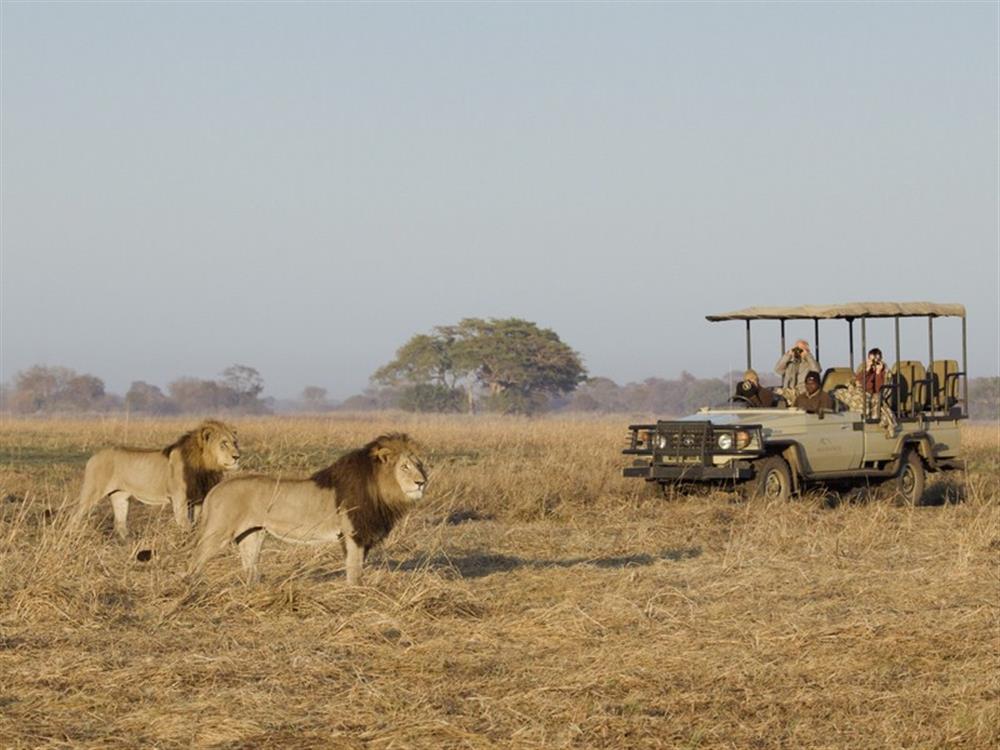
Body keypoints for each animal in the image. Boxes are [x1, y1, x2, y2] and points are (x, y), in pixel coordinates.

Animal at [71, 424, 240, 540]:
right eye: (223, 443)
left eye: (235, 442)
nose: (237, 456)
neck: (205, 466)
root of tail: (94, 456)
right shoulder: (179, 499)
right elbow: (185, 523)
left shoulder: (197, 499)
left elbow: (194, 524)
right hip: (92, 492)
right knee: (75, 516)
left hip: (120, 496)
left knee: (120, 524)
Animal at [189, 434, 428, 588]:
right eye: (404, 467)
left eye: (420, 466)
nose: (422, 483)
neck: (380, 488)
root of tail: (216, 489)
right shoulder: (354, 533)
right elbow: (355, 570)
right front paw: (356, 594)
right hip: (218, 532)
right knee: (196, 559)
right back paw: (191, 587)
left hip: (252, 535)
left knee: (250, 567)